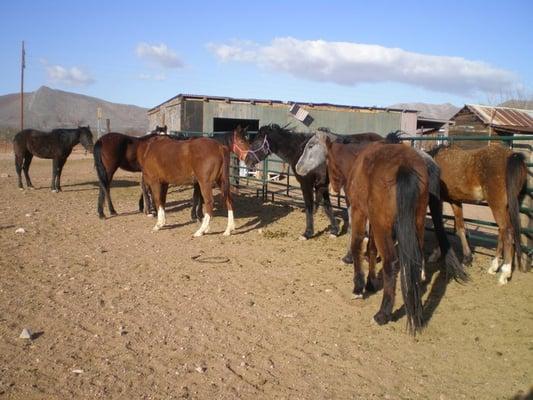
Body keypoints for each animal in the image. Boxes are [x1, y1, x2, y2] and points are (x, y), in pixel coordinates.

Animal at [245, 123, 382, 239]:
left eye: (257, 142)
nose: (247, 161)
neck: (300, 152)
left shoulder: (308, 184)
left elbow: (310, 205)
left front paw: (308, 233)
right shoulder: (321, 185)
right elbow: (326, 206)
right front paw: (334, 230)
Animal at [428, 144, 528, 284]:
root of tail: (512, 156)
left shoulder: (440, 201)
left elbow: (439, 227)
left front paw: (436, 254)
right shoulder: (455, 201)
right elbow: (460, 228)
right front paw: (467, 258)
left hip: (497, 205)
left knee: (507, 231)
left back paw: (504, 273)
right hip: (507, 206)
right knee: (502, 230)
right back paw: (494, 266)